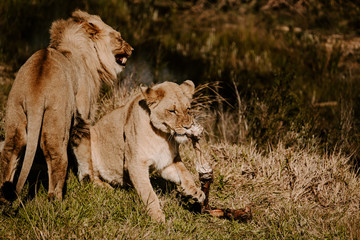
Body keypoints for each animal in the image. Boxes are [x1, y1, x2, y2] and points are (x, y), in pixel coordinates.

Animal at [0, 9, 133, 201]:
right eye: (119, 38)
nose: (132, 49)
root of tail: (36, 92)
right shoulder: (83, 115)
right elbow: (85, 150)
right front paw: (94, 182)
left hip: (15, 113)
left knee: (11, 152)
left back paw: (4, 197)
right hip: (58, 122)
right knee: (55, 158)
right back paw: (56, 200)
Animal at [86, 81, 205, 223]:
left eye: (188, 109)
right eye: (172, 111)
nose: (188, 126)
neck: (162, 136)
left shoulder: (166, 162)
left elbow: (185, 173)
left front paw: (196, 192)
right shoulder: (135, 163)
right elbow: (148, 192)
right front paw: (157, 216)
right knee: (89, 176)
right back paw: (106, 187)